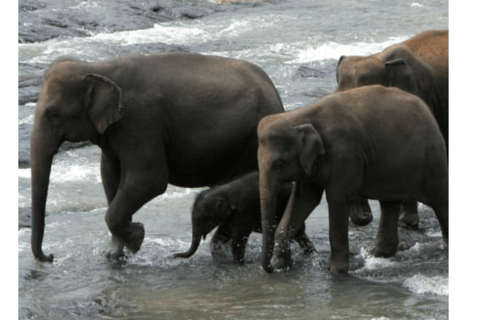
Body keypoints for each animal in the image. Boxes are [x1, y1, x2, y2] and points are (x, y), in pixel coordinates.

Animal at [30, 53, 284, 262]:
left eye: (52, 114)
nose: (50, 256)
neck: (98, 66)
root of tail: (276, 96)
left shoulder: (140, 120)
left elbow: (148, 180)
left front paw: (136, 238)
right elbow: (109, 177)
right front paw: (114, 254)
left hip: (250, 141)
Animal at [172, 171, 316, 264]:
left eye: (203, 219)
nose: (174, 255)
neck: (224, 190)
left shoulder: (244, 210)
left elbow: (238, 240)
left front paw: (239, 264)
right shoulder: (232, 215)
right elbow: (223, 234)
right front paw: (220, 256)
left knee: (296, 234)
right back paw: (309, 254)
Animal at [256, 85, 448, 276]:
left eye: (279, 164)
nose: (269, 269)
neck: (300, 115)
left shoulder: (344, 153)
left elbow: (338, 199)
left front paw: (334, 271)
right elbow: (304, 199)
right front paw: (282, 265)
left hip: (432, 159)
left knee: (439, 199)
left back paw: (444, 248)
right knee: (389, 203)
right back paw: (376, 253)